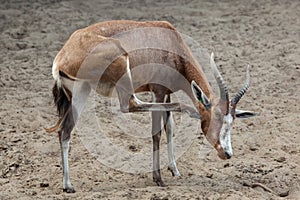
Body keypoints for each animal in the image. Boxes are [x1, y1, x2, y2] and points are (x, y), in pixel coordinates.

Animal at [46, 19, 255, 192]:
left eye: (233, 121)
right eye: (217, 117)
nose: (227, 153)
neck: (171, 42)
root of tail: (62, 58)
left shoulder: (167, 93)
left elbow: (169, 127)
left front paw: (174, 170)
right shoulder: (158, 91)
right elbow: (157, 132)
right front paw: (158, 179)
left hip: (81, 90)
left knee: (65, 131)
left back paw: (68, 186)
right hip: (120, 69)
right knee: (129, 105)